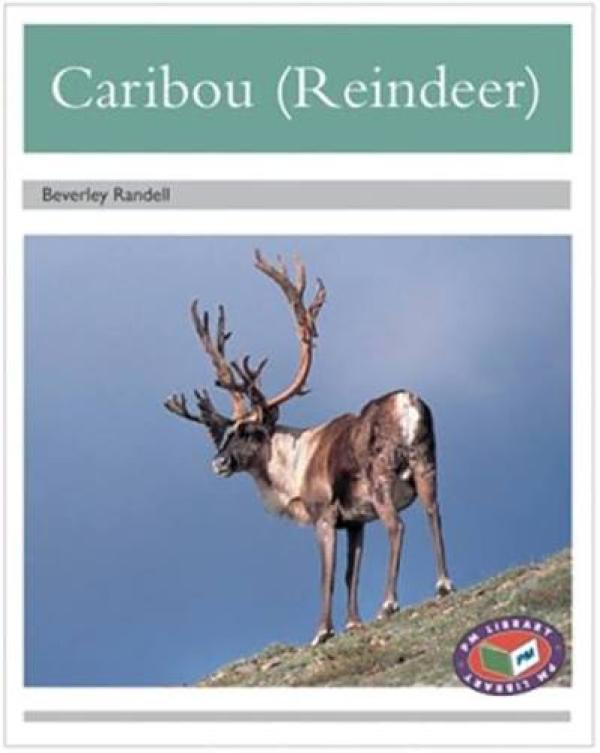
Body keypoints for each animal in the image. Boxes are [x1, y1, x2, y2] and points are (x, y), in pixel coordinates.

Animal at [165, 251, 454, 646]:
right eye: (227, 433)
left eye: (249, 431)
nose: (218, 462)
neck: (293, 469)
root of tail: (407, 404)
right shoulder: (355, 521)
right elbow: (351, 572)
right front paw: (353, 623)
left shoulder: (325, 514)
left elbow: (327, 575)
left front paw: (322, 631)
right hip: (426, 463)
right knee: (433, 510)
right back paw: (443, 584)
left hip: (382, 479)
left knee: (397, 526)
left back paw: (389, 604)